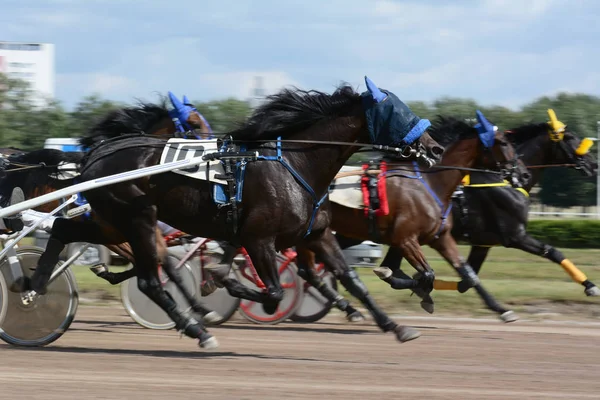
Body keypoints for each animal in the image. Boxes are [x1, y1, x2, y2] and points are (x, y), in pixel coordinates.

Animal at [68, 78, 446, 346]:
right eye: (397, 111)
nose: (435, 148)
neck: (296, 164)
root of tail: (97, 154)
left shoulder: (318, 235)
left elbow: (353, 281)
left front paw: (396, 326)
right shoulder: (259, 238)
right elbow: (273, 291)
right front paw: (224, 282)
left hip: (113, 222)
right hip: (138, 218)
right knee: (149, 280)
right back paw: (198, 329)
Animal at [304, 111, 528, 322]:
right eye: (504, 142)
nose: (524, 174)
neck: (431, 183)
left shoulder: (441, 237)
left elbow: (468, 275)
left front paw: (503, 310)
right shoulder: (405, 239)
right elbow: (423, 274)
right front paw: (412, 285)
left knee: (309, 271)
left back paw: (348, 308)